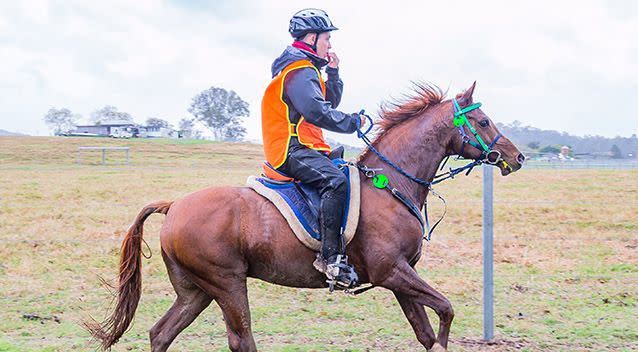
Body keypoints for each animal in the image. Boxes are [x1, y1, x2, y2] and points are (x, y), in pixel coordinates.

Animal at [85, 82, 524, 352]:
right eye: (483, 121)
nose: (517, 157)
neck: (391, 183)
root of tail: (174, 205)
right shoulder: (392, 272)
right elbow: (446, 310)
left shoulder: (400, 278)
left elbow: (426, 330)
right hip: (227, 285)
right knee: (241, 340)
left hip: (196, 291)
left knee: (161, 334)